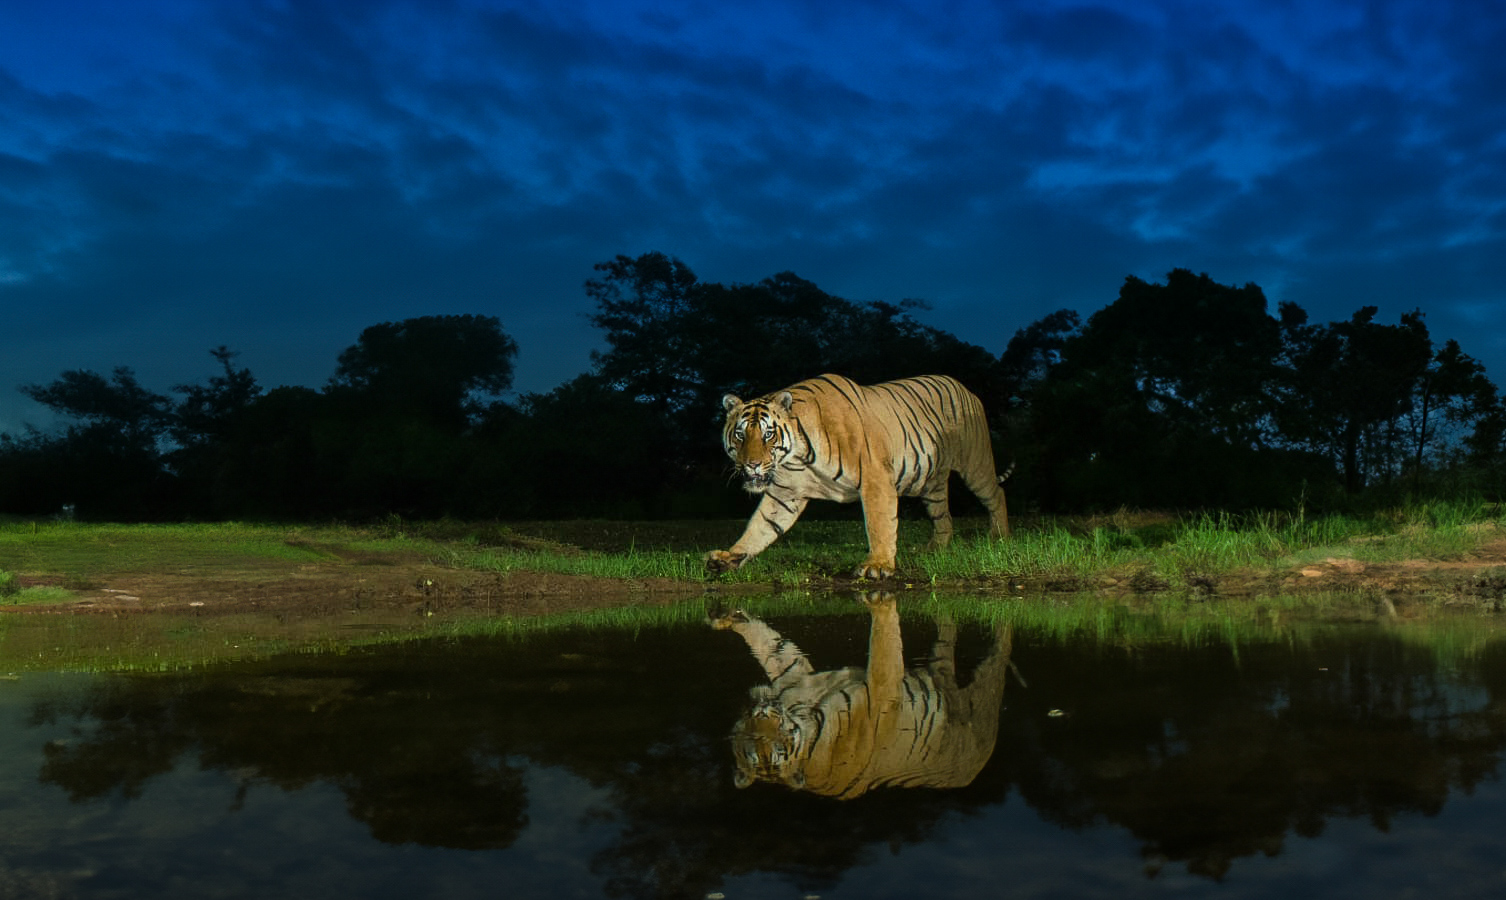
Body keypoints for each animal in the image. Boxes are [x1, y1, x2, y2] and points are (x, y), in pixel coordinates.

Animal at [706, 373, 1010, 579]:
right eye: (740, 434)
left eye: (768, 434)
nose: (752, 465)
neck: (797, 458)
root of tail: (966, 388)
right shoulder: (785, 494)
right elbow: (759, 527)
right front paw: (729, 556)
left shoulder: (875, 478)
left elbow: (879, 524)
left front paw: (878, 565)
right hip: (930, 484)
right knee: (943, 516)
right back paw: (935, 549)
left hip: (975, 463)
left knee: (996, 493)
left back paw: (999, 536)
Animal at [709, 593, 1013, 798]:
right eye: (753, 741)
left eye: (779, 741)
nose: (759, 709)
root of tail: (975, 770)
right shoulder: (796, 676)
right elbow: (774, 646)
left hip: (978, 692)